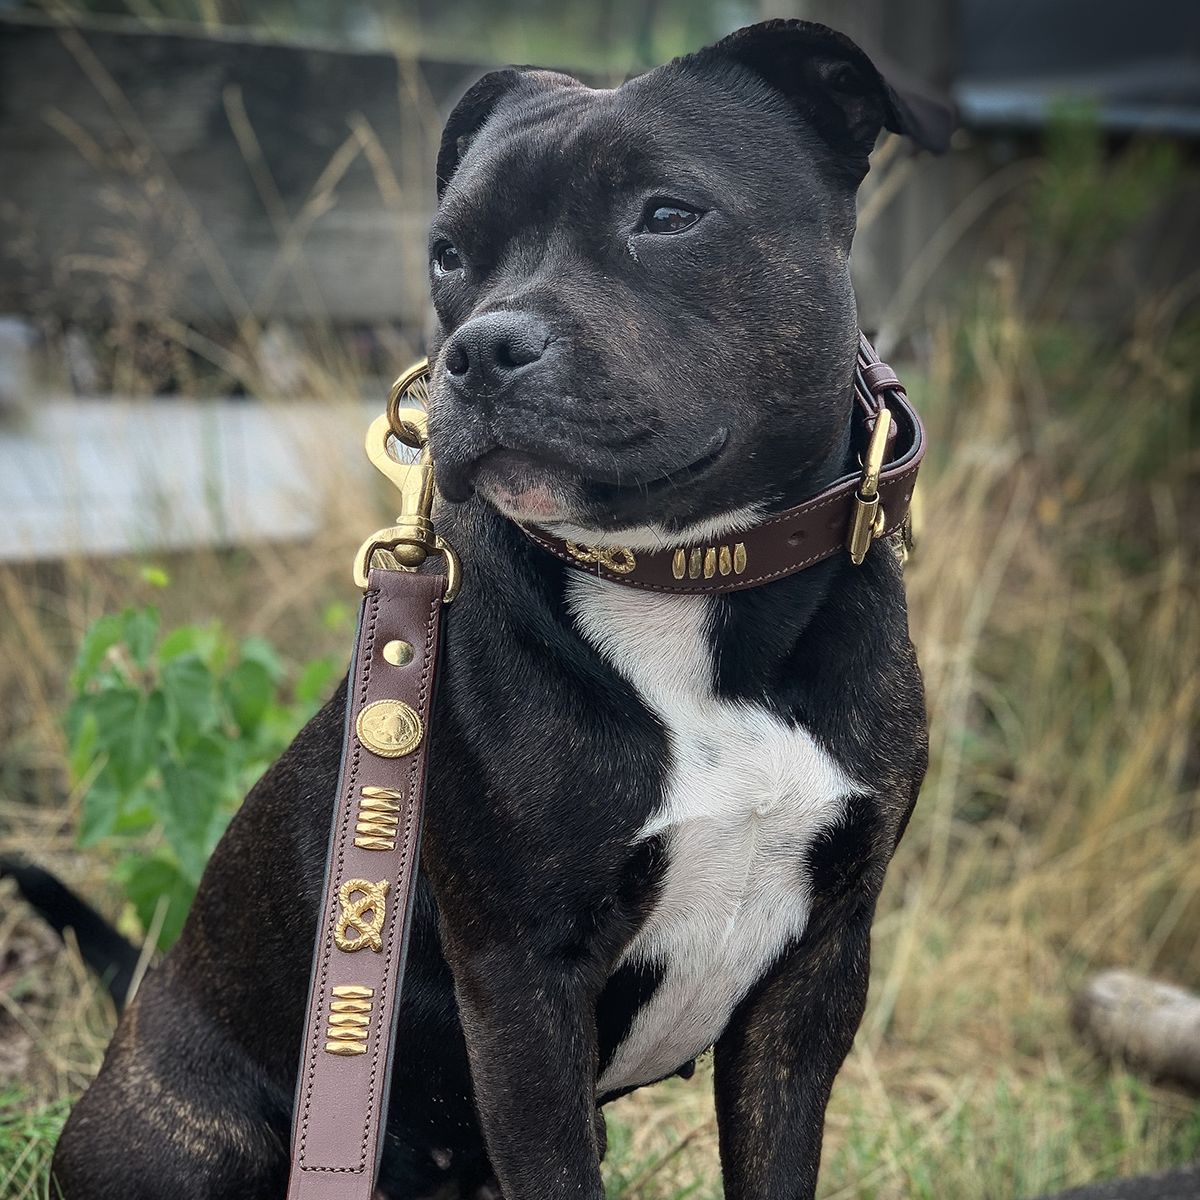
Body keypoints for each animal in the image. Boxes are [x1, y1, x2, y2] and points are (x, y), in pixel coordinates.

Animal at [49, 21, 945, 1200]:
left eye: (668, 214)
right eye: (447, 256)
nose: (479, 348)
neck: (686, 589)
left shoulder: (816, 974)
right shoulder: (522, 988)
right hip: (198, 1138)